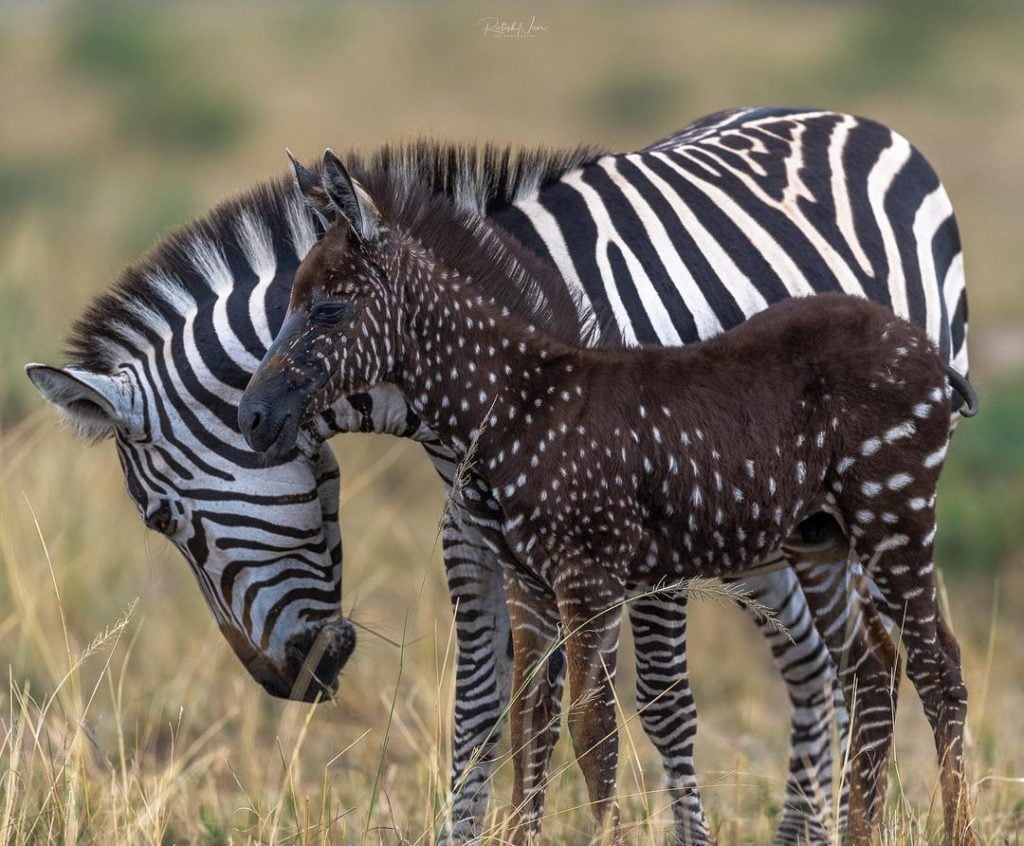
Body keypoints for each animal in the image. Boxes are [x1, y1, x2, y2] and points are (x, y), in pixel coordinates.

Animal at [25, 107, 968, 843]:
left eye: (163, 520)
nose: (288, 683)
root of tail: (855, 120)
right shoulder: (476, 536)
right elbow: (492, 707)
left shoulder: (629, 542)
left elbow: (654, 707)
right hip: (789, 534)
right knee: (834, 665)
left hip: (852, 516)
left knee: (884, 662)